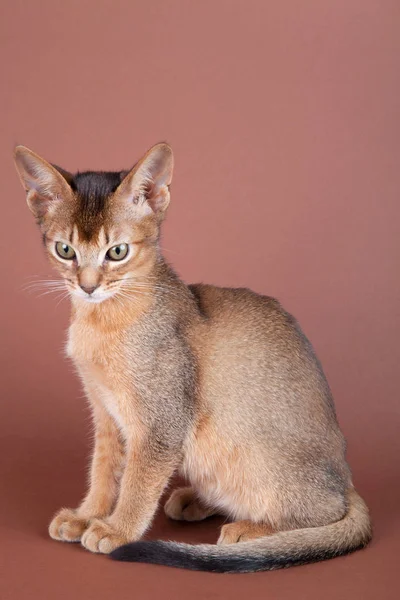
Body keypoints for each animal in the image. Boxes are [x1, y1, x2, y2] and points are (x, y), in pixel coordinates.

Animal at [14, 141, 372, 572]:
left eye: (117, 252)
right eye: (65, 250)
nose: (87, 286)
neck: (102, 321)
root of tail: (346, 478)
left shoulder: (161, 422)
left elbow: (137, 481)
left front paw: (116, 529)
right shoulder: (106, 414)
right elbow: (103, 471)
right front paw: (88, 515)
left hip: (253, 458)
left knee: (324, 512)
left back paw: (251, 529)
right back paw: (195, 501)